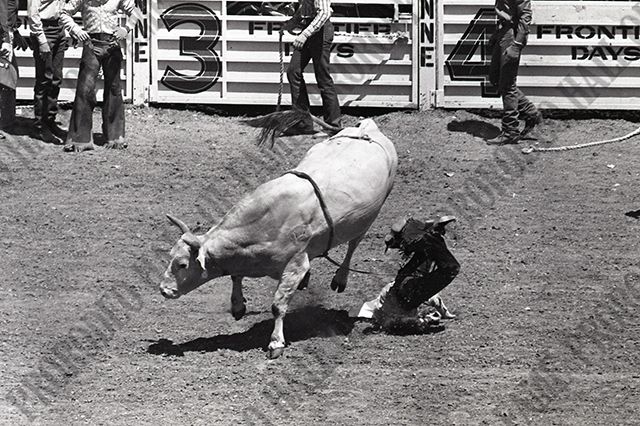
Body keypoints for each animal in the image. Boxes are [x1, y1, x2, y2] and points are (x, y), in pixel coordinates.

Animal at [159, 119, 398, 358]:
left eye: (182, 264)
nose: (163, 290)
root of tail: (367, 126)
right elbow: (236, 277)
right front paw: (237, 306)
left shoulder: (295, 264)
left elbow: (278, 305)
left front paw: (276, 343)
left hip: (368, 219)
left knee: (353, 245)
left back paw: (340, 278)